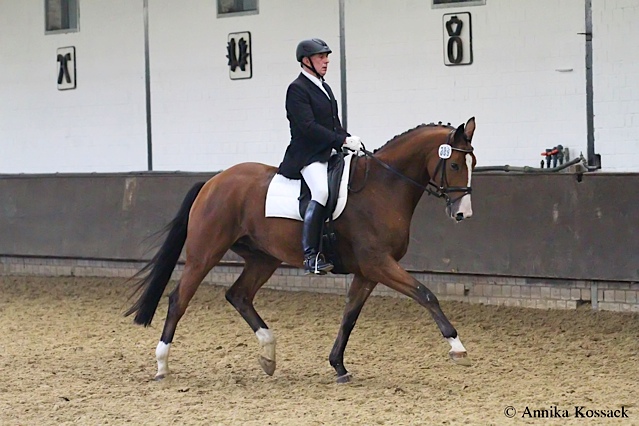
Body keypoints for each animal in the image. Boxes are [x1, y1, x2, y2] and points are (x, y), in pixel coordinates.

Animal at [126, 116, 476, 382]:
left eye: (471, 162)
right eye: (455, 165)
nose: (463, 214)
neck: (382, 188)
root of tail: (213, 182)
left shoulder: (368, 272)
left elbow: (350, 316)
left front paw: (338, 366)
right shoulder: (378, 263)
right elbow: (425, 294)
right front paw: (457, 347)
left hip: (263, 258)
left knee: (239, 295)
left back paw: (268, 354)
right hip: (205, 253)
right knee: (179, 299)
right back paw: (162, 365)